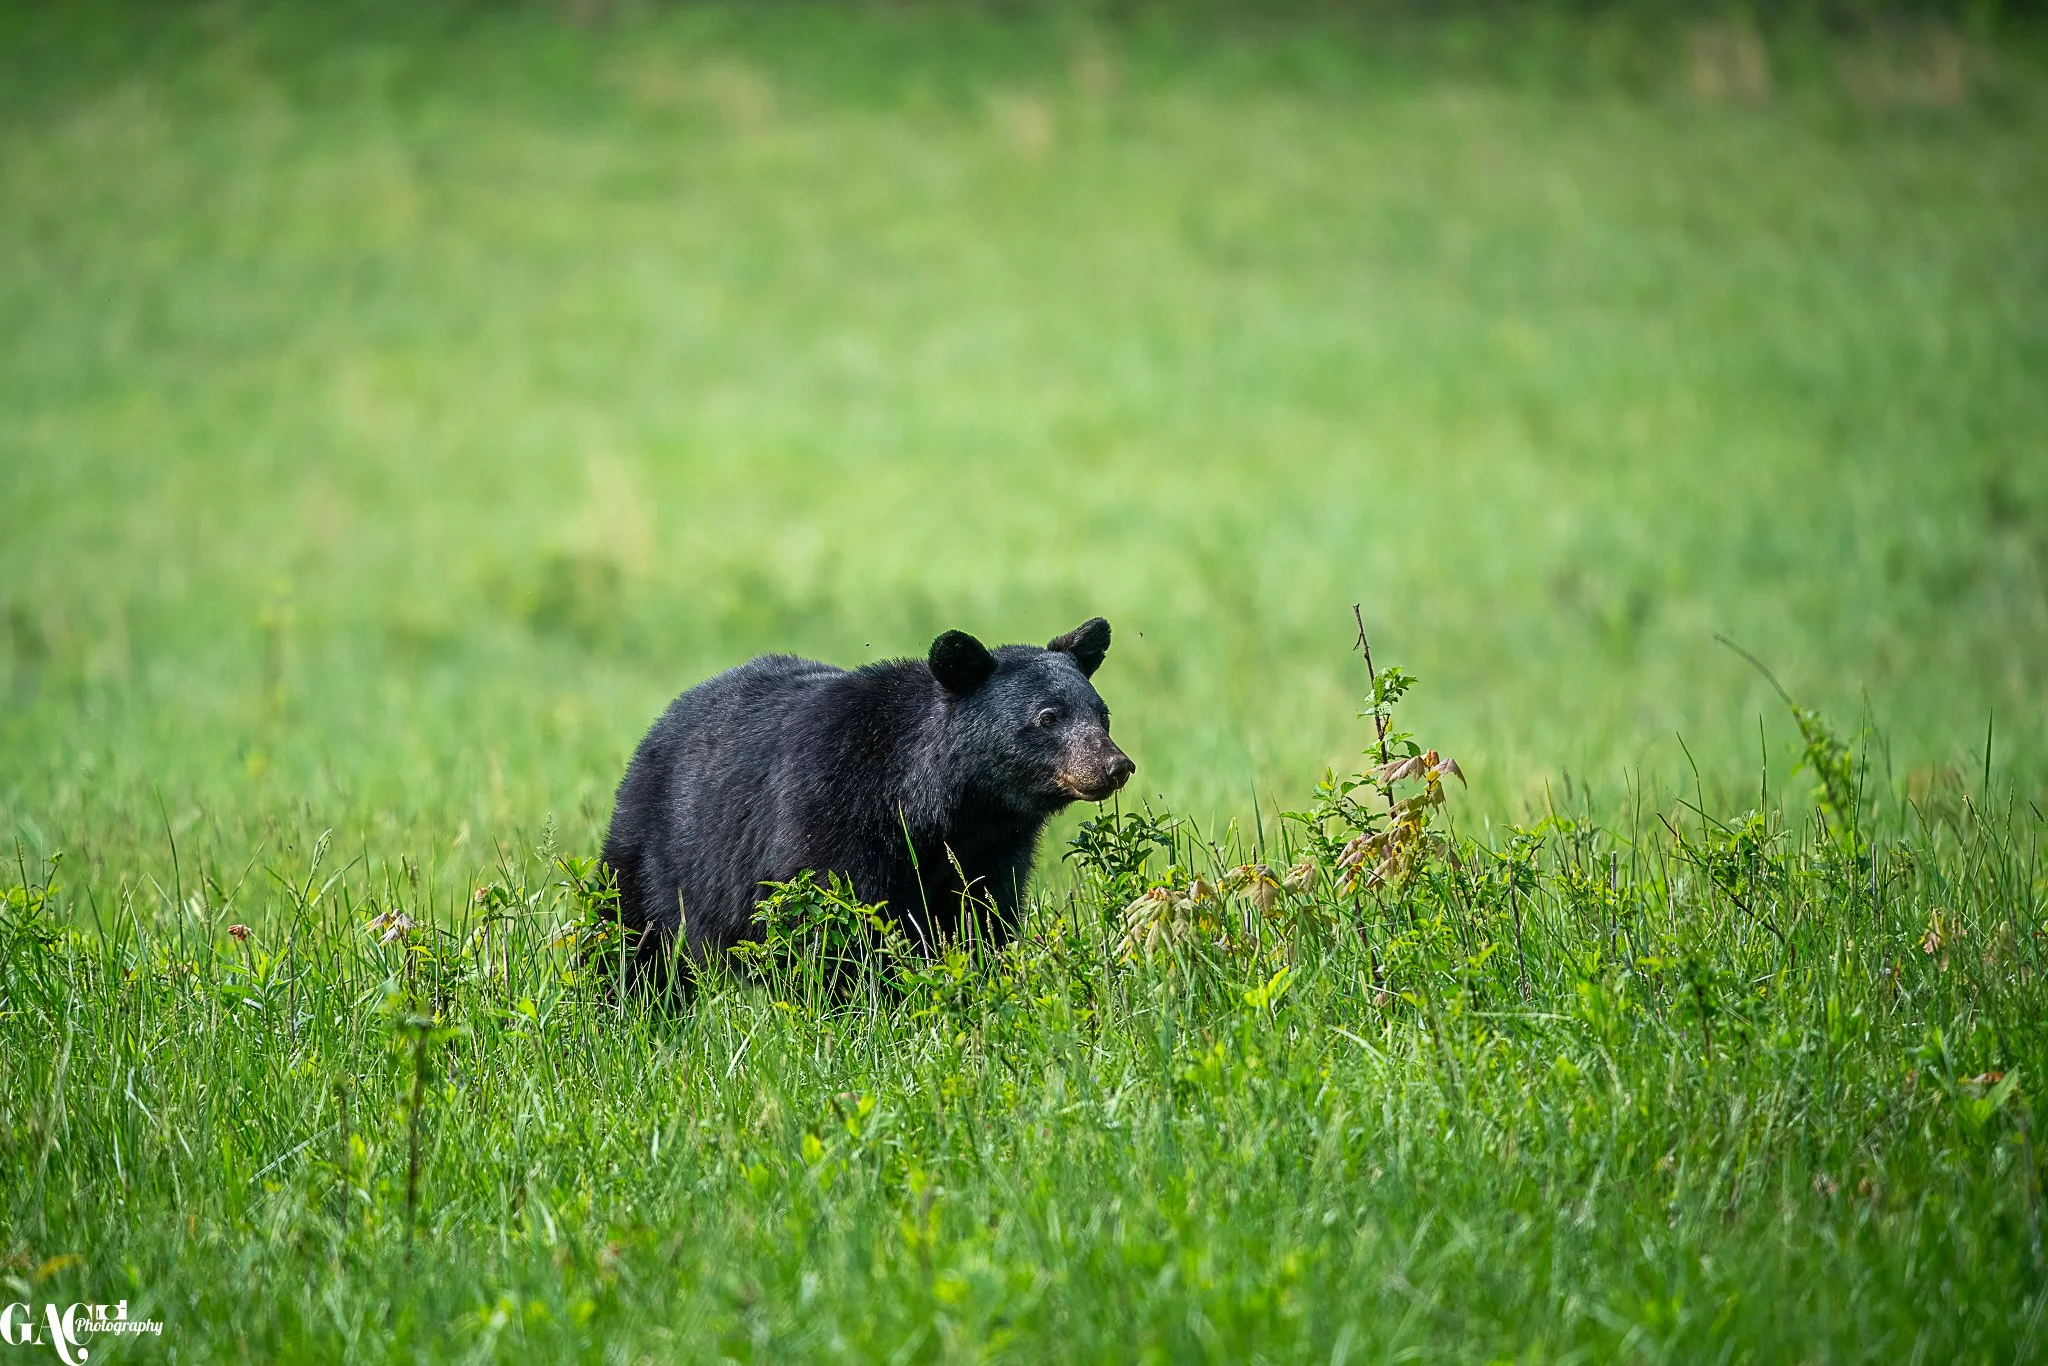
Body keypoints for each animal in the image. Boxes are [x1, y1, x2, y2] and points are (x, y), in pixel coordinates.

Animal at [599, 617, 1134, 991]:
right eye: (1047, 717)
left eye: (1102, 713)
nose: (1115, 765)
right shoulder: (830, 812)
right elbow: (832, 926)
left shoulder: (991, 850)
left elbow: (981, 916)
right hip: (655, 850)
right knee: (630, 936)